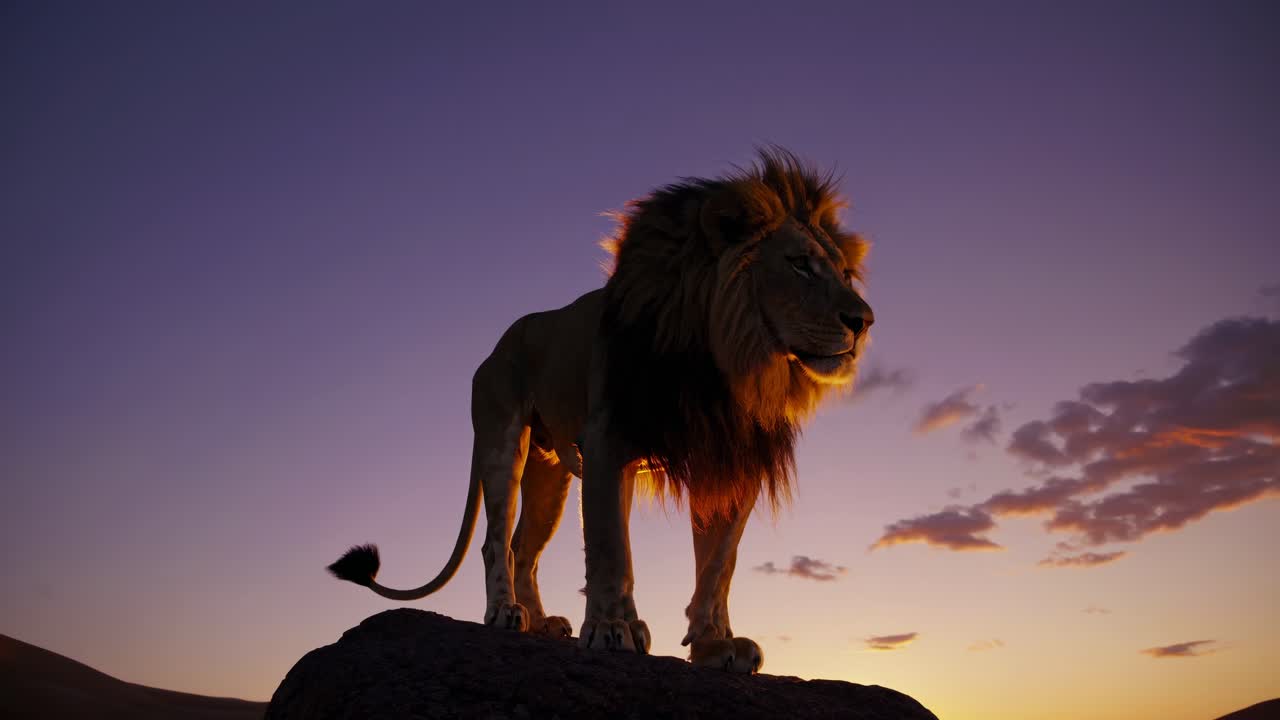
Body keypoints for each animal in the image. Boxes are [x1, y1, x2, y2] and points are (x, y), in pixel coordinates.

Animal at [328, 148, 874, 673]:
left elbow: (718, 565)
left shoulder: (726, 458)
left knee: (524, 548)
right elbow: (612, 546)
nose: (864, 320)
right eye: (799, 264)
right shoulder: (608, 439)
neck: (729, 364)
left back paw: (541, 622)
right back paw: (505, 612)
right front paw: (611, 629)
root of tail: (497, 345)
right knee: (496, 540)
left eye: (846, 273)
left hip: (551, 474)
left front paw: (714, 645)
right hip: (503, 442)